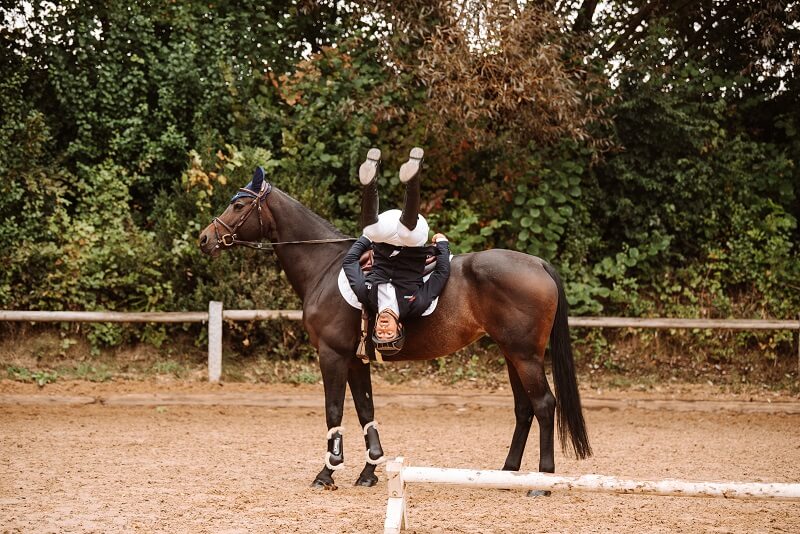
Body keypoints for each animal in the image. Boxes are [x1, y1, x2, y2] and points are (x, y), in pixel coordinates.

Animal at [197, 170, 592, 492]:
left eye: (239, 204)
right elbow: (364, 410)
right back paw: (508, 474)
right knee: (524, 409)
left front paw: (327, 473)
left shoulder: (332, 355)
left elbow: (334, 411)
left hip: (525, 356)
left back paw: (540, 482)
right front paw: (369, 472)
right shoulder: (356, 360)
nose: (204, 238)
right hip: (512, 354)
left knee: (544, 405)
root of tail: (537, 262)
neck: (326, 266)